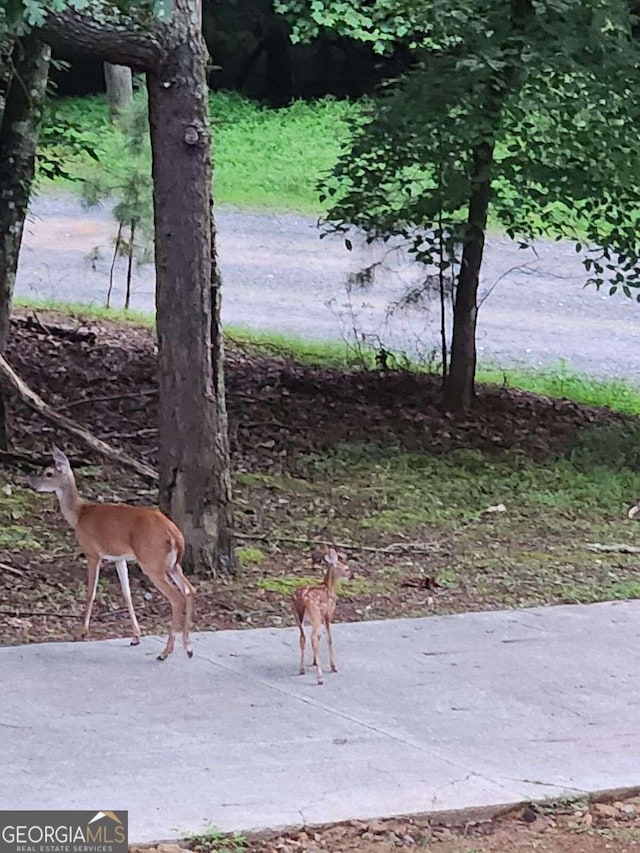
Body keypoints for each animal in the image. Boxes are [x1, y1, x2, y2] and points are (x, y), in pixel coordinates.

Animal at [31, 446, 195, 660]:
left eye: (49, 473)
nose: (32, 484)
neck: (79, 514)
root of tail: (175, 534)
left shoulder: (92, 552)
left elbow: (91, 592)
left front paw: (81, 632)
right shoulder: (120, 558)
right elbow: (127, 593)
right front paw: (136, 636)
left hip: (152, 562)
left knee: (177, 597)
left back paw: (165, 652)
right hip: (172, 564)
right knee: (190, 590)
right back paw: (188, 648)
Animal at [292, 544, 350, 684]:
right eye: (346, 568)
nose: (351, 576)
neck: (329, 587)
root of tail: (301, 599)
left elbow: (320, 637)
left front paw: (314, 661)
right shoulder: (328, 614)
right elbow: (329, 638)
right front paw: (333, 666)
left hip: (297, 615)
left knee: (303, 638)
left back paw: (302, 669)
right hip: (315, 614)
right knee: (312, 637)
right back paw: (320, 677)